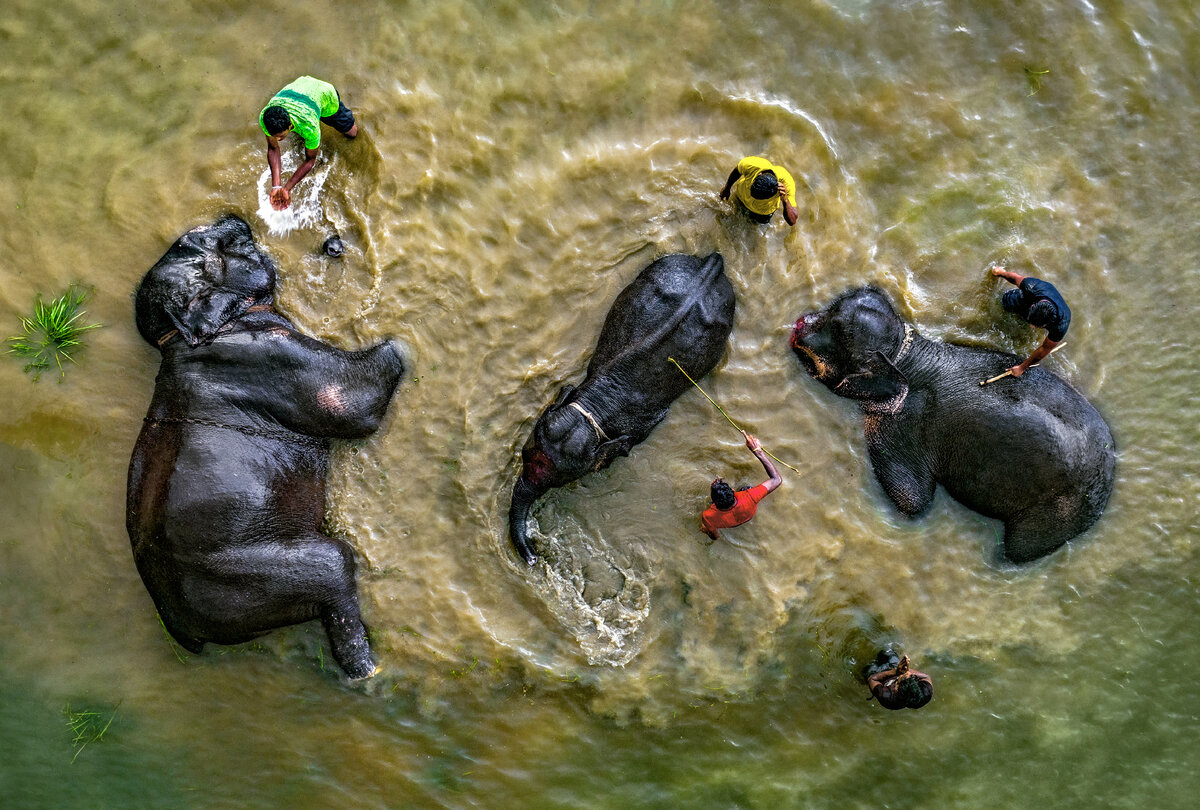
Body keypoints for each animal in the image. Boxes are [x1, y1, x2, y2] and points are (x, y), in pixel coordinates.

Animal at [127, 213, 408, 676]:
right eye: (207, 242)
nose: (233, 218)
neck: (181, 338)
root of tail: (181, 625)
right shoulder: (273, 356)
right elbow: (354, 403)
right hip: (266, 571)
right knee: (335, 568)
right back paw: (367, 670)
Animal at [504, 252, 729, 564]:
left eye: (557, 480)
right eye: (525, 455)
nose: (533, 556)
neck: (593, 405)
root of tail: (712, 262)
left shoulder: (640, 423)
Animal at [787, 286, 1113, 564]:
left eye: (839, 334)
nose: (799, 323)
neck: (905, 354)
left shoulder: (905, 424)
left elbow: (913, 502)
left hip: (1059, 512)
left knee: (1017, 550)